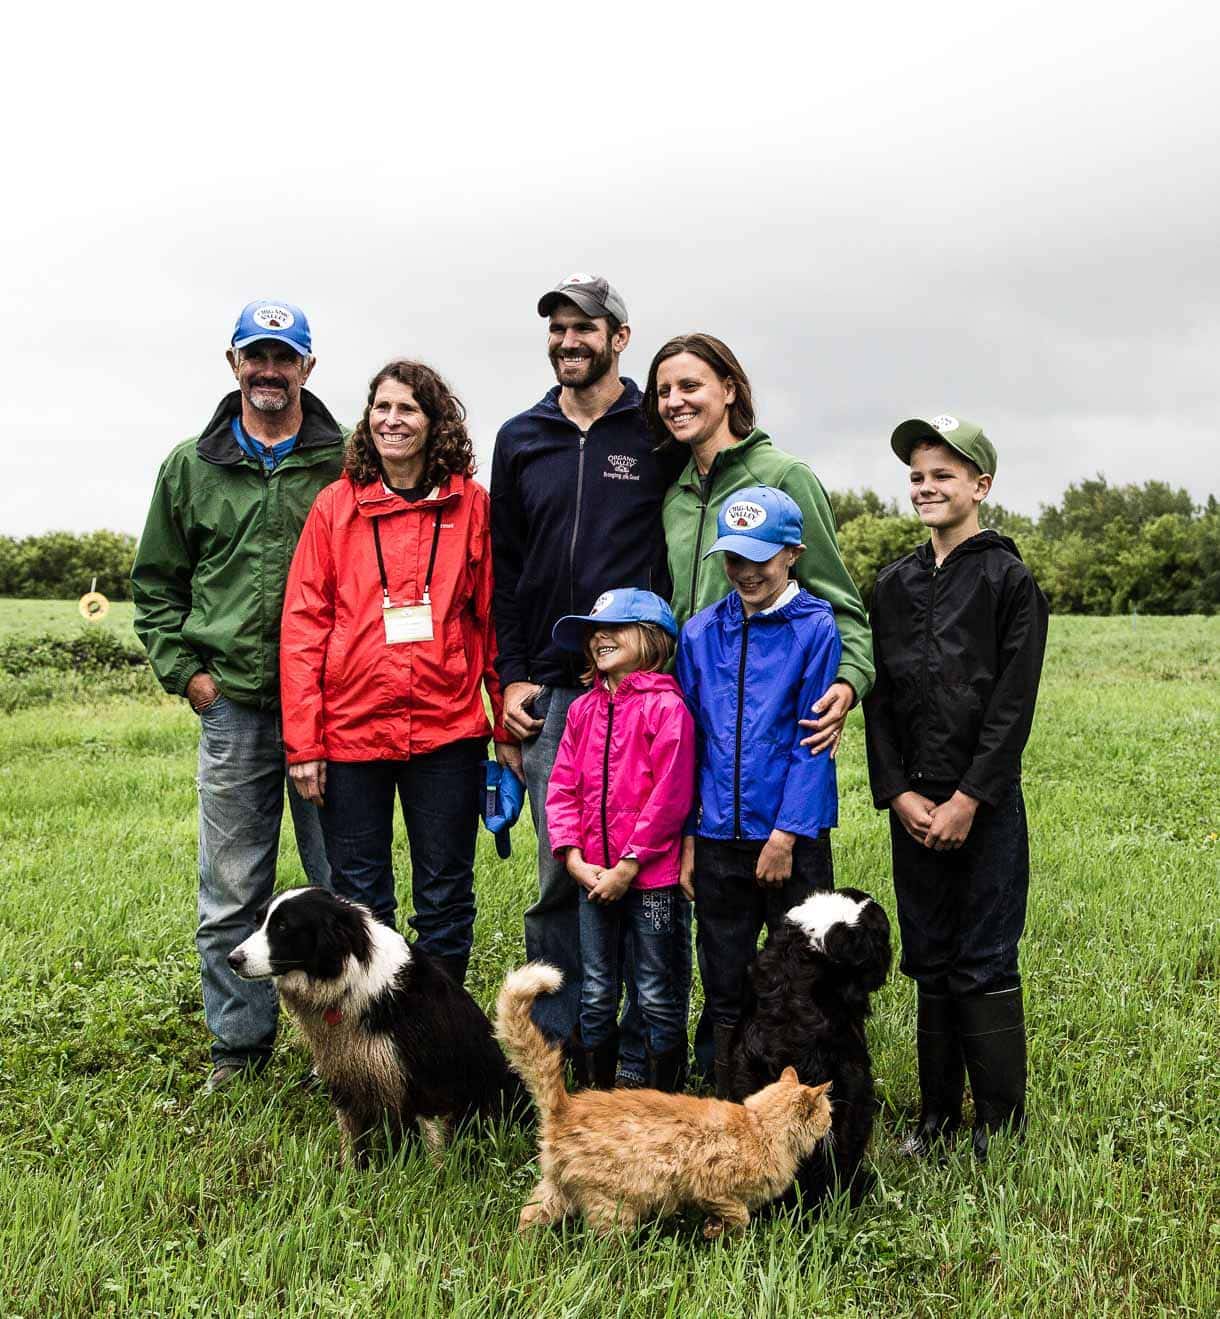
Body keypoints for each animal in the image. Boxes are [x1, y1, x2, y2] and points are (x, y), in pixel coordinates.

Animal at [228, 886, 527, 1165]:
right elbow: (351, 1137)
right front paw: (352, 1174)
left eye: (282, 926)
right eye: (258, 921)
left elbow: (434, 1146)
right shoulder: (345, 1070)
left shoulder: (428, 1078)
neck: (347, 976)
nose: (232, 959)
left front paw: (436, 1177)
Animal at [495, 960, 828, 1234]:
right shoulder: (712, 1187)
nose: (830, 1127)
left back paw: (524, 1244)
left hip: (555, 1192)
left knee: (528, 1216)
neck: (759, 1126)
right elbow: (739, 1214)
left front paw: (713, 1230)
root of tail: (565, 1106)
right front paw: (722, 1229)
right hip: (614, 1206)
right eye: (828, 1113)